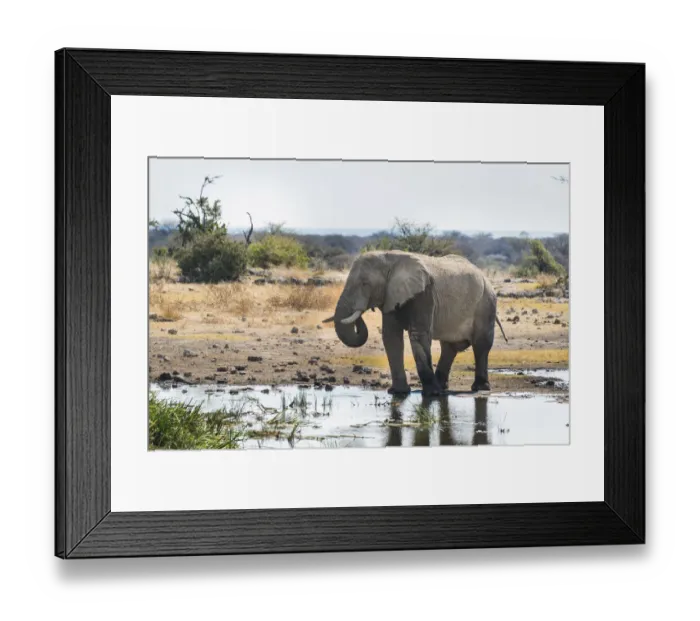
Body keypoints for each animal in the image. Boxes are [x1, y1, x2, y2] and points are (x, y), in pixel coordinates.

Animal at [324, 250, 507, 396]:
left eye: (365, 283)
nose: (360, 311)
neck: (389, 258)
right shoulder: (391, 295)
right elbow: (391, 338)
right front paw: (398, 392)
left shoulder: (424, 294)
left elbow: (418, 335)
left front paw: (432, 395)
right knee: (449, 347)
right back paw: (442, 387)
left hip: (486, 303)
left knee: (481, 344)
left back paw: (479, 388)